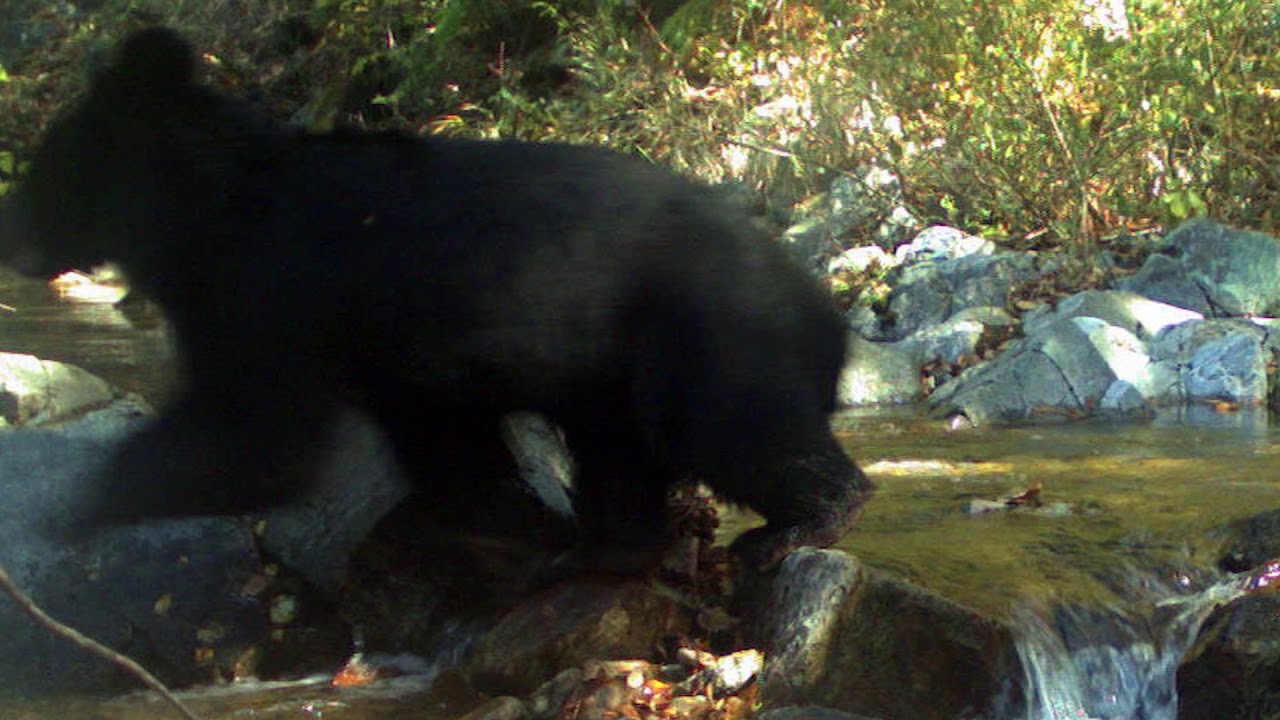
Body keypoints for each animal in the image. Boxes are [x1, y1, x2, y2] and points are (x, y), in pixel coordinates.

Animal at [1, 28, 872, 571]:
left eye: (41, 172)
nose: (12, 235)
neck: (206, 213)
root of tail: (823, 305)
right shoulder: (397, 359)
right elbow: (443, 440)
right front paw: (475, 513)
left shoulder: (271, 291)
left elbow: (254, 434)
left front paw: (74, 509)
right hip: (612, 376)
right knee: (626, 454)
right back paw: (611, 539)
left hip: (708, 336)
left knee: (735, 427)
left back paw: (799, 522)